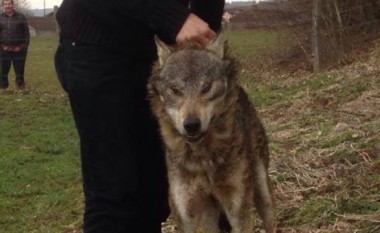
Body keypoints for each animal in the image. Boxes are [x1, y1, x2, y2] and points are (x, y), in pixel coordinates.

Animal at [148, 34, 276, 233]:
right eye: (175, 90)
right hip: (210, 214)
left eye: (206, 87)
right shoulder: (185, 217)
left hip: (263, 193)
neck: (203, 159)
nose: (191, 125)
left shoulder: (238, 212)